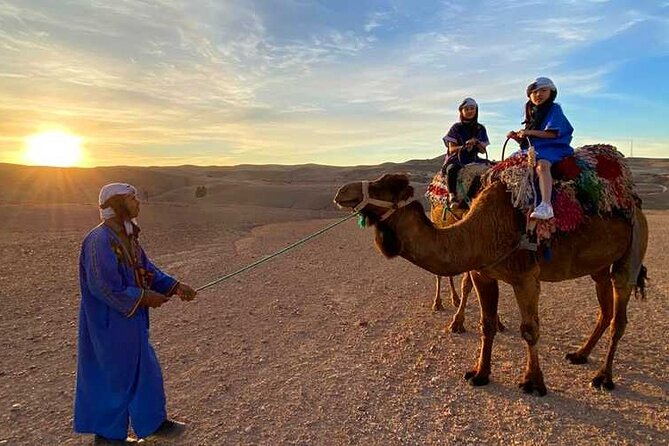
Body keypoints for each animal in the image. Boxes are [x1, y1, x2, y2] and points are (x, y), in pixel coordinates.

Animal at [334, 172, 648, 396]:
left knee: (619, 317)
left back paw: (603, 378)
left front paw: (533, 383)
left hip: (631, 254)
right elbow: (486, 324)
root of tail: (635, 205)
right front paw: (479, 374)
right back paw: (581, 355)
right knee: (605, 311)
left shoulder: (526, 277)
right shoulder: (483, 273)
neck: (481, 230)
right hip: (599, 267)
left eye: (382, 185)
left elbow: (530, 330)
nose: (341, 192)